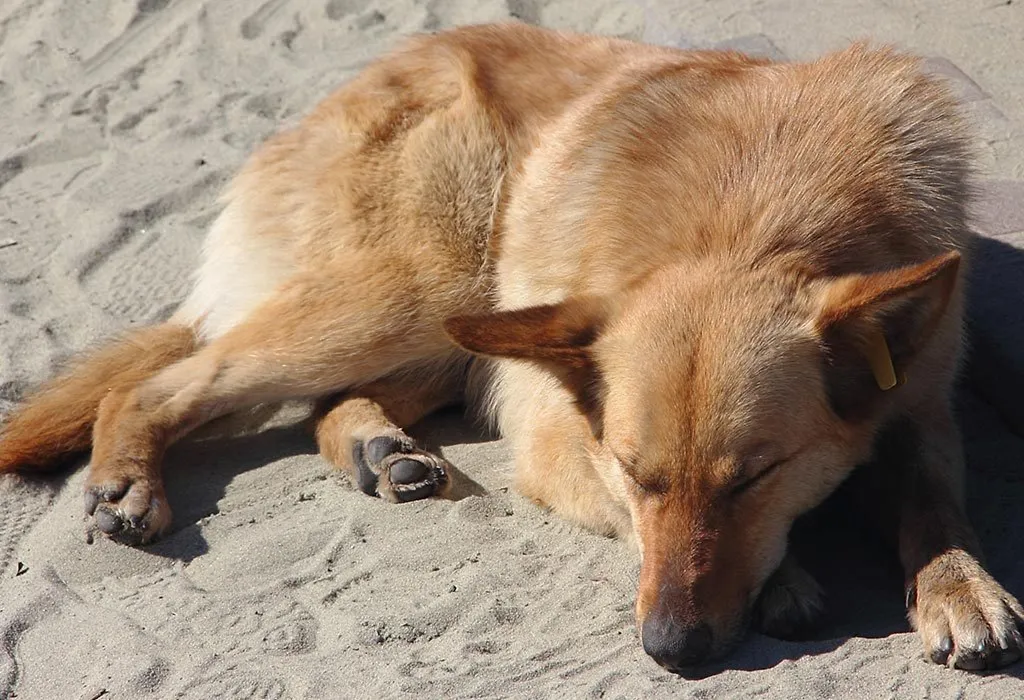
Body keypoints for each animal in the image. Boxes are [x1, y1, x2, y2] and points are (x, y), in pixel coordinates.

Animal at [2, 23, 1024, 671]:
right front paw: (788, 582)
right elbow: (644, 536)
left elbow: (934, 500)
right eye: (636, 474)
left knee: (319, 403)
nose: (670, 652)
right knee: (166, 383)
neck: (754, 220)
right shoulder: (557, 442)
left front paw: (958, 584)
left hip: (442, 329)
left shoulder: (922, 407)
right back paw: (128, 478)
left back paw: (377, 447)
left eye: (754, 478)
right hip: (420, 291)